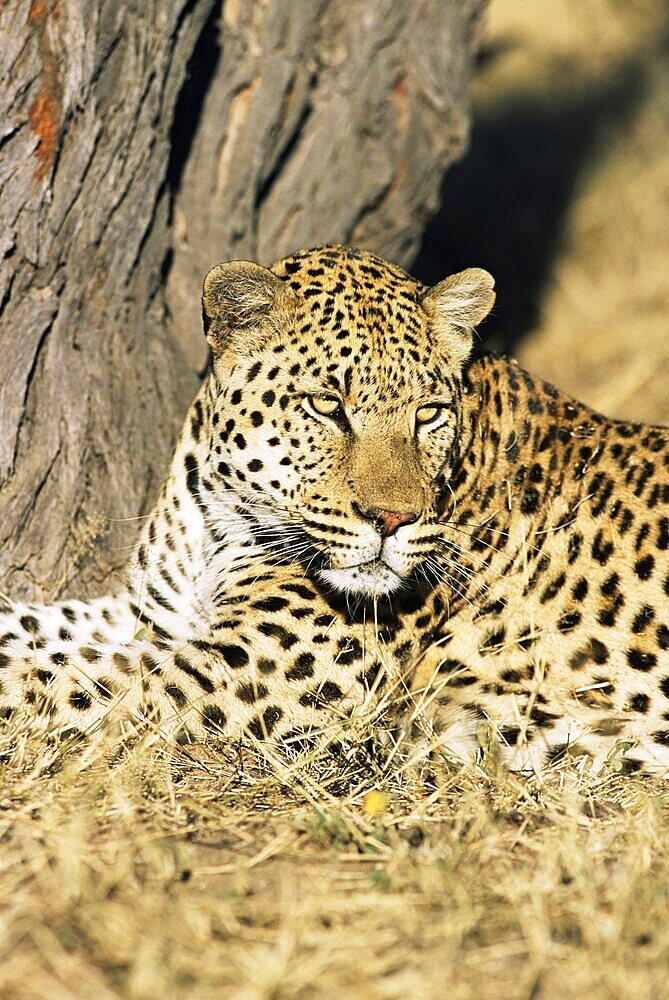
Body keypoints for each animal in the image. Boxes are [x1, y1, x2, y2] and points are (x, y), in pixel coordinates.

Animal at [0, 246, 664, 776]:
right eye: (327, 405)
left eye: (429, 413)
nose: (392, 520)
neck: (219, 515)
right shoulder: (156, 618)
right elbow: (53, 627)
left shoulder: (236, 672)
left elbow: (64, 680)